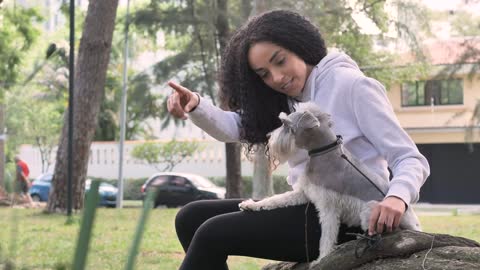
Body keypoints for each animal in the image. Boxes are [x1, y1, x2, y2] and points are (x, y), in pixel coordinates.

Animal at [239, 103, 420, 266]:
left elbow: (326, 236)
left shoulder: (329, 208)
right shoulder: (303, 193)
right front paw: (251, 204)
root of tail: (413, 220)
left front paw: (322, 259)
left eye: (285, 124)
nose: (269, 138)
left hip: (371, 211)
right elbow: (275, 199)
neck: (323, 152)